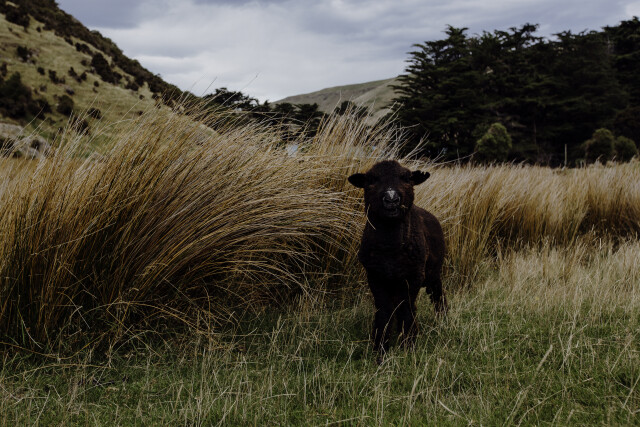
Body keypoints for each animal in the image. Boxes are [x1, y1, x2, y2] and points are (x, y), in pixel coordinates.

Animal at [348, 160, 447, 359]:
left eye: (407, 179)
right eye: (371, 180)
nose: (392, 199)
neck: (390, 249)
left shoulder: (414, 276)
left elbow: (407, 309)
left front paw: (408, 346)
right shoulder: (375, 276)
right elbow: (384, 310)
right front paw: (380, 351)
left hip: (434, 272)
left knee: (438, 295)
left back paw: (444, 320)